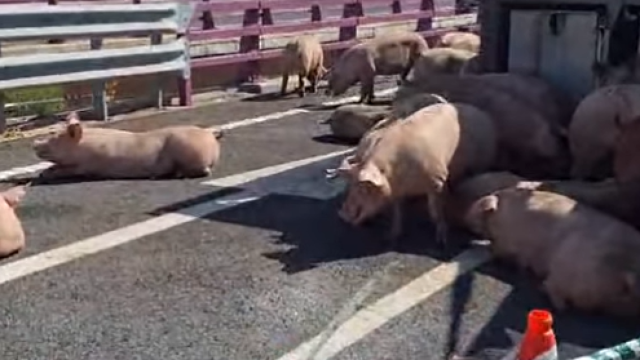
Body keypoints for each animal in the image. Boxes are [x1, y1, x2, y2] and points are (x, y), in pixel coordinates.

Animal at [33, 111, 222, 180]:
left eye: (54, 137)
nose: (34, 144)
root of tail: (211, 138)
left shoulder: (89, 165)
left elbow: (68, 170)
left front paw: (45, 175)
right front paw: (43, 173)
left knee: (203, 171)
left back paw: (178, 175)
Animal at [338, 102, 498, 246]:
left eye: (363, 188)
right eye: (350, 185)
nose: (342, 214)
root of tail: (484, 114)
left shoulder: (438, 180)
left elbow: (435, 211)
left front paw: (441, 241)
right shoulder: (397, 191)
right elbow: (397, 212)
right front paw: (390, 237)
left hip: (483, 160)